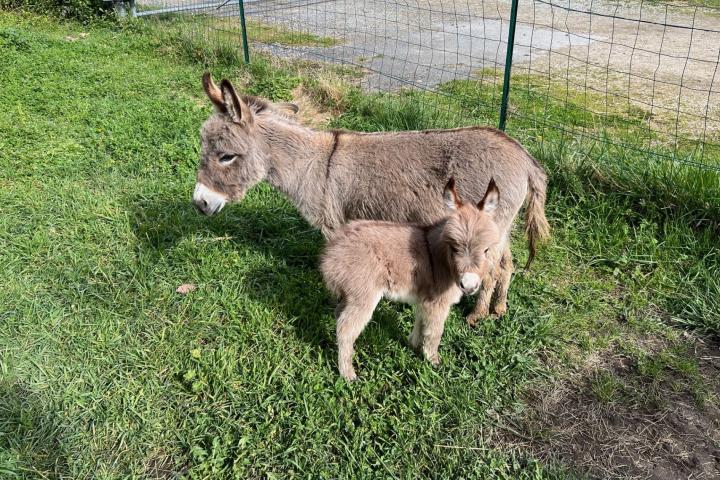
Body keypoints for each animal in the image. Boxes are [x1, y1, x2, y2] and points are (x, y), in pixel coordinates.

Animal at [320, 178, 500, 380]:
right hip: (363, 296)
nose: (469, 286)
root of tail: (331, 252)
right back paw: (348, 374)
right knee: (345, 328)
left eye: (486, 250)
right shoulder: (437, 303)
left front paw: (413, 346)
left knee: (338, 316)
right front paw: (433, 361)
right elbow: (435, 332)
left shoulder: (426, 299)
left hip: (350, 294)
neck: (442, 259)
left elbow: (421, 323)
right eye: (454, 247)